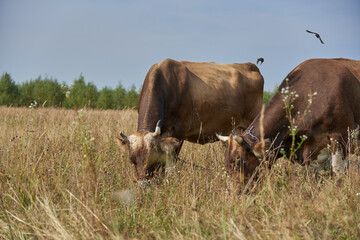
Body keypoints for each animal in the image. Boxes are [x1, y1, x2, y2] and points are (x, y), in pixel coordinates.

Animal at [116, 58, 262, 182]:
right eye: (132, 160)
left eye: (150, 157)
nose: (143, 184)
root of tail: (250, 65)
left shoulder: (179, 131)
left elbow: (170, 164)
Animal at [217, 58, 360, 181]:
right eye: (226, 163)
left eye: (238, 162)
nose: (235, 193)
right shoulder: (312, 154)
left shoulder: (340, 137)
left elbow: (337, 175)